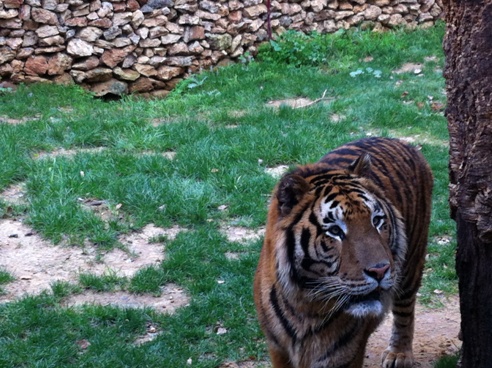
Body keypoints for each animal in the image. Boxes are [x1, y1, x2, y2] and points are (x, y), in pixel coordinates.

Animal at [252, 137, 432, 366]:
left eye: (376, 220)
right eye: (335, 230)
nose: (380, 271)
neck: (306, 306)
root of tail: (400, 141)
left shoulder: (345, 354)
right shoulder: (278, 349)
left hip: (411, 264)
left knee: (405, 309)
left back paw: (399, 354)